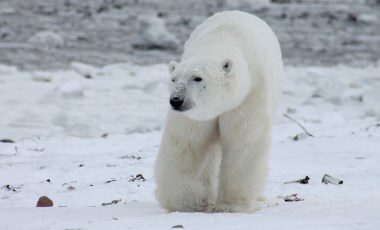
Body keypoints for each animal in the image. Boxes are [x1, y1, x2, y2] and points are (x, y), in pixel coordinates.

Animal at [154, 10, 282, 212]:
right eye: (174, 79)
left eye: (197, 78)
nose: (176, 101)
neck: (222, 39)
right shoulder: (195, 116)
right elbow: (186, 143)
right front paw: (188, 202)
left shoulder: (248, 96)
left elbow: (244, 141)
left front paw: (232, 205)